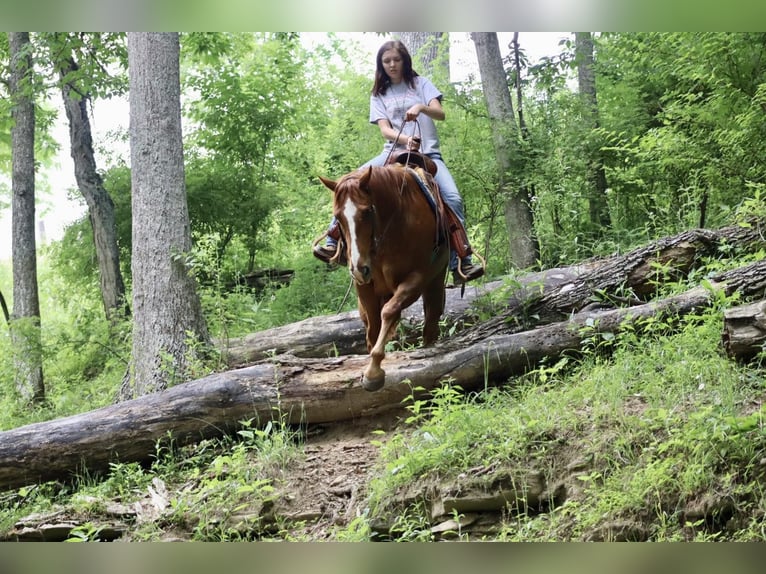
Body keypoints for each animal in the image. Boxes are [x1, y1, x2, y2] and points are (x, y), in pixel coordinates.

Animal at [318, 163, 450, 396]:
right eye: (338, 217)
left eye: (367, 211)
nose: (358, 267)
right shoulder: (364, 287)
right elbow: (374, 328)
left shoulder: (417, 278)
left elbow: (389, 312)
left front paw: (373, 373)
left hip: (434, 283)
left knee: (430, 325)